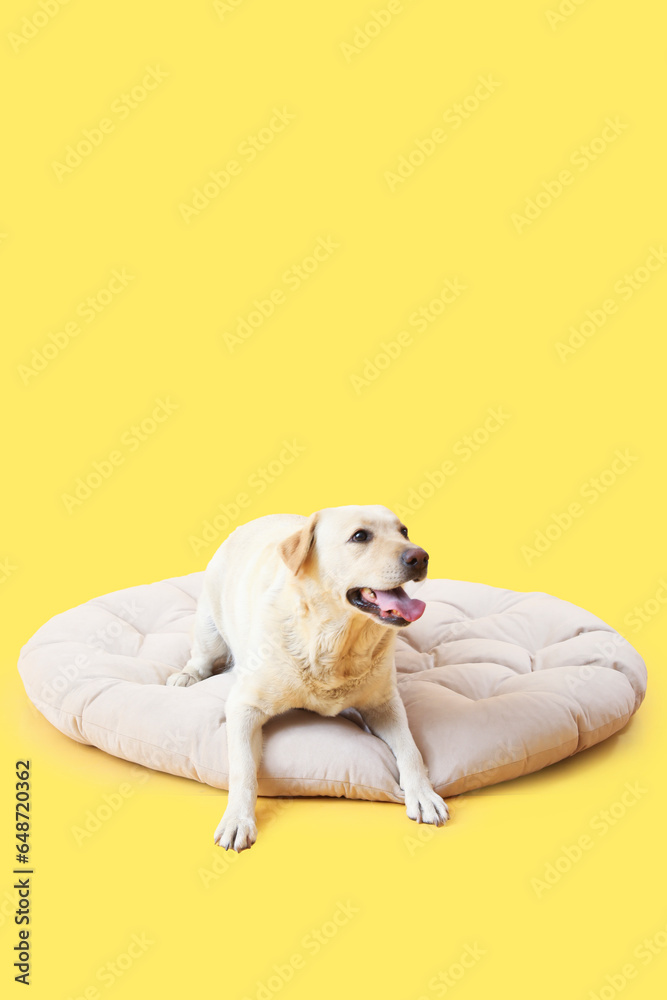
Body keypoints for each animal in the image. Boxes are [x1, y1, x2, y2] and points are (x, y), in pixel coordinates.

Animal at [167, 508, 448, 852]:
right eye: (360, 536)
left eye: (404, 531)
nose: (420, 557)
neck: (334, 643)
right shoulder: (243, 706)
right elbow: (242, 769)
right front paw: (237, 819)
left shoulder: (385, 704)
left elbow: (411, 749)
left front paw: (423, 794)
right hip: (209, 630)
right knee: (201, 658)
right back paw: (186, 675)